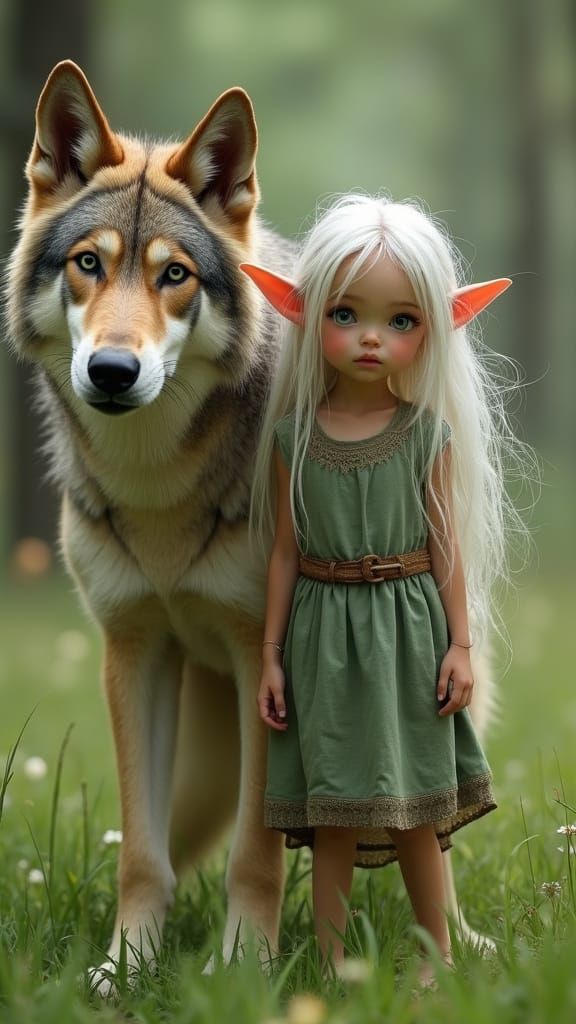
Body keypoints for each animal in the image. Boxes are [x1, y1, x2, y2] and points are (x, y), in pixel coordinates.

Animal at [5, 61, 495, 991]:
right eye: (88, 264)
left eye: (175, 276)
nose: (112, 371)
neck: (159, 486)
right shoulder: (132, 652)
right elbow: (143, 856)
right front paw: (125, 968)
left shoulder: (261, 654)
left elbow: (258, 855)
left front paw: (242, 969)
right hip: (200, 761)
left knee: (438, 830)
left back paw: (460, 949)